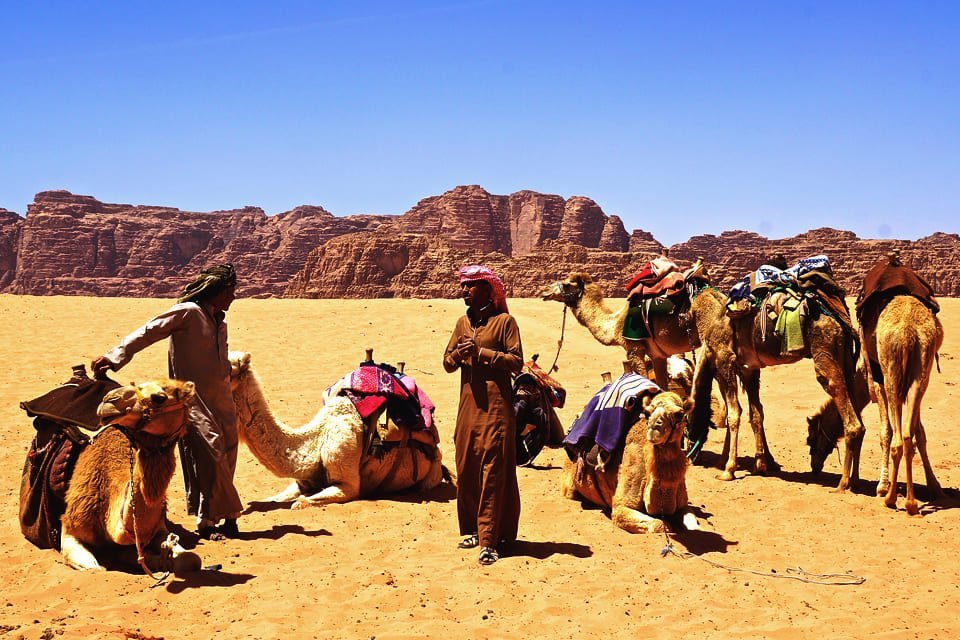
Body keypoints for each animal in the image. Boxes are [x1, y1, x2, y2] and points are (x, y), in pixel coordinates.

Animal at [229, 350, 446, 510]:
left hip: (431, 475)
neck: (317, 441)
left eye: (230, 368)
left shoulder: (348, 484)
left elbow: (301, 502)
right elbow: (275, 498)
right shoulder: (302, 481)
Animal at [556, 388, 696, 532]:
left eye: (679, 414)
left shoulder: (683, 505)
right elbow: (660, 525)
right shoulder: (621, 507)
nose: (654, 427)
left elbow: (693, 525)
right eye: (647, 412)